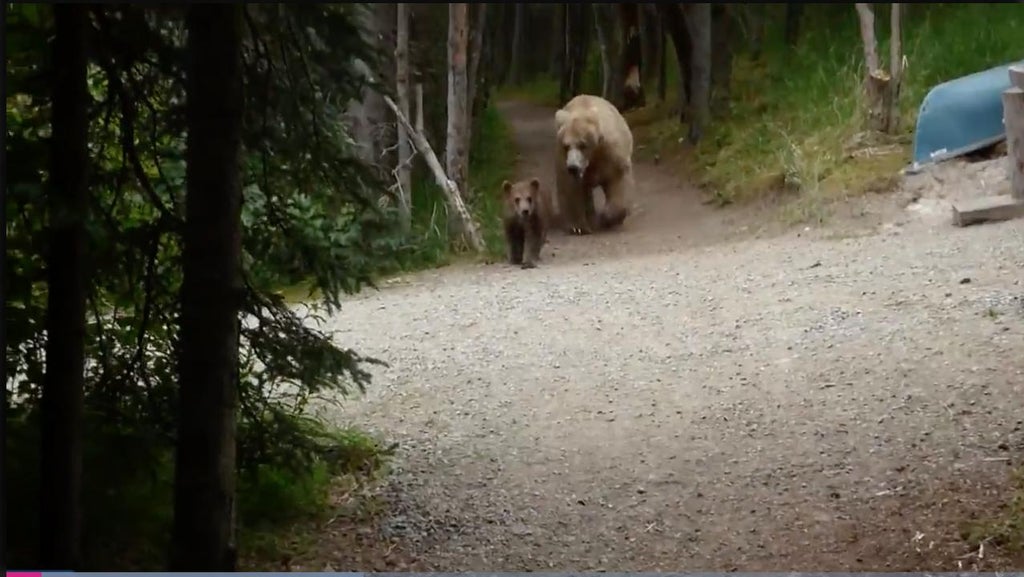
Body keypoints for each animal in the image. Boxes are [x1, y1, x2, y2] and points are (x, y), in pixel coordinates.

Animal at [552, 94, 630, 234]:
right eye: (566, 146)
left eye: (582, 144)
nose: (573, 167)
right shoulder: (563, 159)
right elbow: (571, 187)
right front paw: (578, 227)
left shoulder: (612, 155)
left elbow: (617, 180)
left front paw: (608, 218)